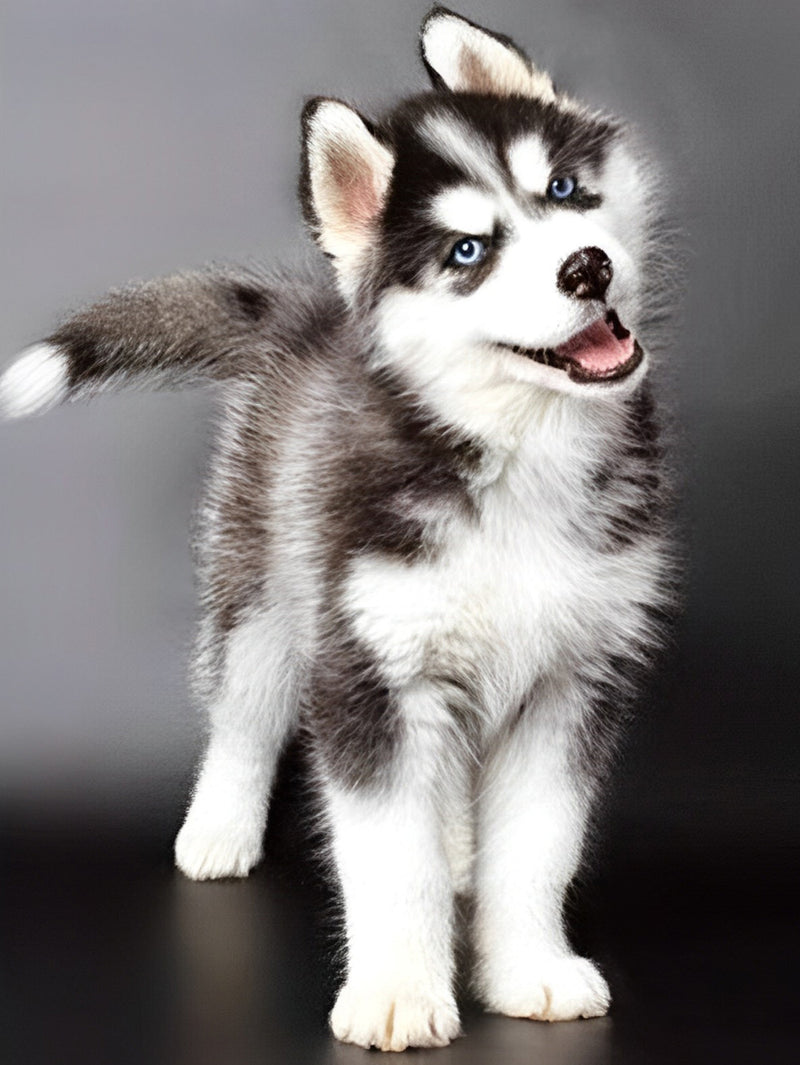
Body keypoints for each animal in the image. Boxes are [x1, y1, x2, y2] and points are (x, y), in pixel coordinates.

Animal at [1, 6, 677, 1056]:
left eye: (564, 190)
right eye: (467, 253)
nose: (587, 265)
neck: (516, 453)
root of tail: (304, 319)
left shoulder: (574, 679)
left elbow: (538, 843)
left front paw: (529, 966)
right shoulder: (369, 670)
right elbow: (387, 851)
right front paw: (398, 989)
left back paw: (457, 849)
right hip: (268, 593)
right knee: (241, 710)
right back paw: (220, 828)